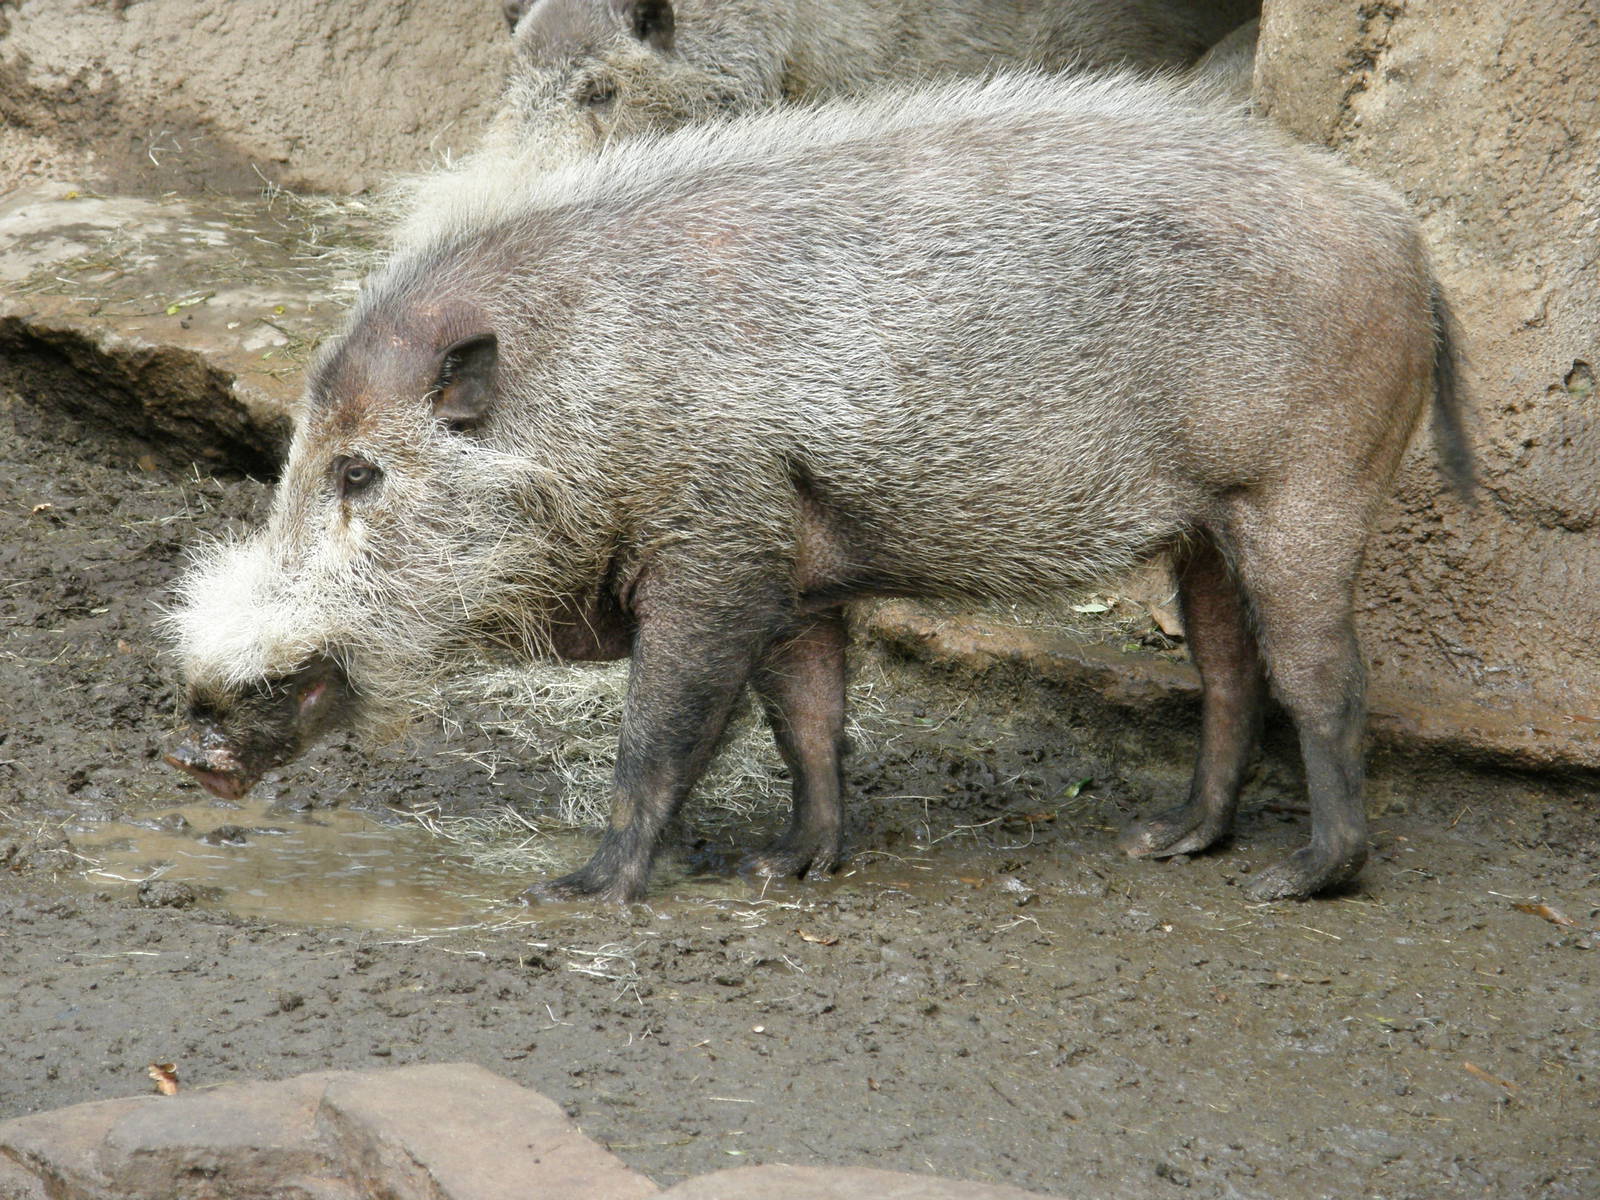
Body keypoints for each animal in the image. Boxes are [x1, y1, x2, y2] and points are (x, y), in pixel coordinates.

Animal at [166, 69, 1473, 905]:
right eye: (297, 459)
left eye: (361, 471)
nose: (197, 729)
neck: (586, 392)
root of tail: (1407, 238)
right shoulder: (792, 569)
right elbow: (810, 722)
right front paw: (784, 869)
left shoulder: (716, 550)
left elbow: (664, 727)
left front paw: (578, 892)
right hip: (1210, 523)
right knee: (1226, 671)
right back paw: (1162, 844)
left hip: (1310, 485)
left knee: (1324, 681)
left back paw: (1292, 883)